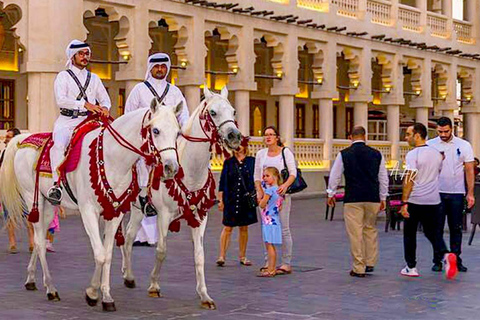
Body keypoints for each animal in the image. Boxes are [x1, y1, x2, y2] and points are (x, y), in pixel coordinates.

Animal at [0, 99, 183, 310]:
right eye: (156, 130)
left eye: (178, 132)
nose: (171, 167)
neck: (113, 159)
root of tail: (23, 139)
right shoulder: (88, 211)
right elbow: (100, 254)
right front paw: (92, 293)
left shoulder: (116, 212)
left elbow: (108, 254)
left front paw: (106, 296)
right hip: (32, 198)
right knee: (38, 240)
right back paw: (51, 288)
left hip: (49, 204)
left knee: (41, 240)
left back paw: (31, 279)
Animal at [120, 85, 240, 310]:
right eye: (213, 112)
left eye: (234, 111)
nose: (235, 136)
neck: (190, 171)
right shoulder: (164, 215)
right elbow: (161, 250)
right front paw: (154, 285)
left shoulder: (200, 217)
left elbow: (199, 255)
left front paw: (204, 295)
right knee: (127, 237)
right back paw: (128, 275)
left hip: (138, 210)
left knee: (129, 235)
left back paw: (128, 274)